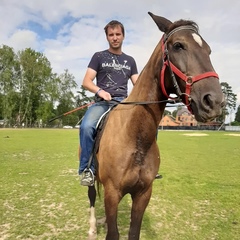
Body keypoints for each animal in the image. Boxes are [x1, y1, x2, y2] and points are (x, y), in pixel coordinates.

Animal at [83, 11, 224, 240]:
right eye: (178, 45)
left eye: (209, 50)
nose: (214, 101)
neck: (134, 136)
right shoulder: (113, 193)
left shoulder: (143, 194)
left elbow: (134, 232)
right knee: (92, 194)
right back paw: (93, 227)